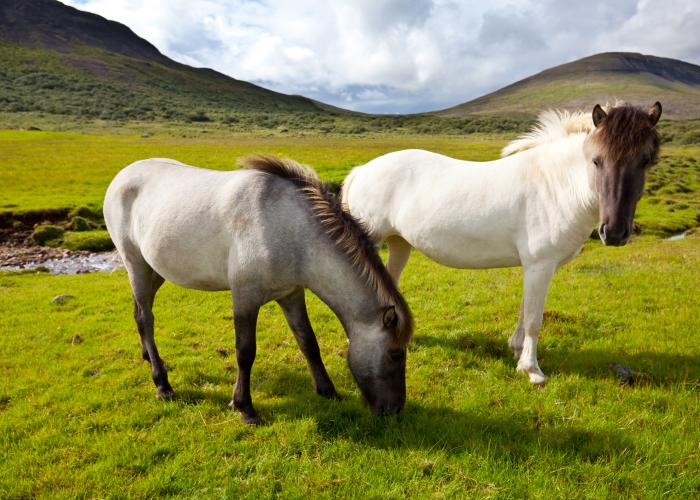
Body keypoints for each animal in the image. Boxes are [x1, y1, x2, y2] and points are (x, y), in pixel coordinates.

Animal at [103, 155, 410, 422]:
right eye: (395, 355)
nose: (395, 410)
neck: (290, 229)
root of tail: (122, 176)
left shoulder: (291, 294)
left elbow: (308, 342)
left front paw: (328, 391)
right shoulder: (245, 296)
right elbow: (245, 351)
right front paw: (245, 408)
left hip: (154, 272)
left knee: (141, 313)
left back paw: (152, 360)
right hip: (136, 265)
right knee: (145, 317)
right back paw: (162, 385)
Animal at [342, 101, 660, 382]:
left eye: (645, 161)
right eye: (596, 161)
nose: (614, 232)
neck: (554, 185)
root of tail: (363, 169)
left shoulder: (536, 267)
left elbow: (525, 309)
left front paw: (517, 351)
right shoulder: (539, 266)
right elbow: (534, 318)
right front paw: (532, 371)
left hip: (399, 244)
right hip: (371, 241)